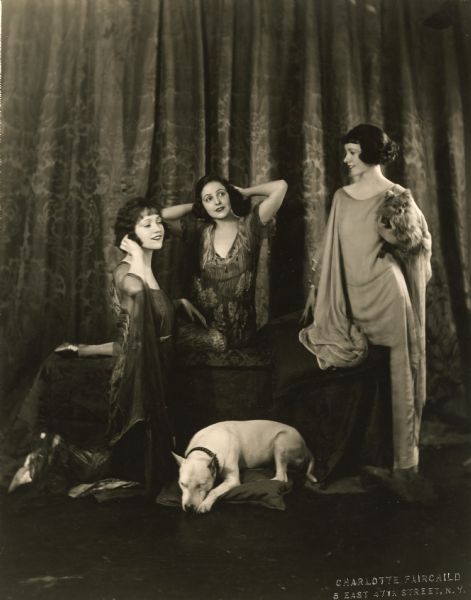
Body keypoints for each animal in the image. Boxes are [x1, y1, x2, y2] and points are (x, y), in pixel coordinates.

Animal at [173, 420, 318, 512]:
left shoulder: (232, 480)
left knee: (281, 476)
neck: (206, 447)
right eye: (182, 484)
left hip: (280, 440)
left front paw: (205, 504)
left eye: (201, 485)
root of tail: (306, 446)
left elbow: (214, 490)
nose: (189, 507)